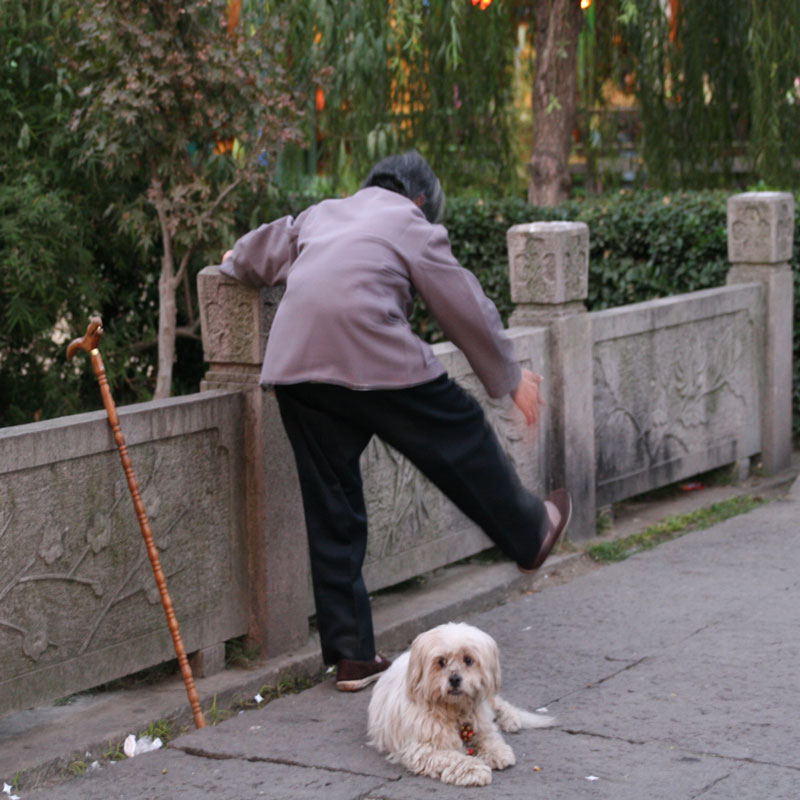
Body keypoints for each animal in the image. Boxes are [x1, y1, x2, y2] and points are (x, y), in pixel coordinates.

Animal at [368, 620, 552, 784]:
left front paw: (496, 751)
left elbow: (489, 736)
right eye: (441, 661)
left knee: (498, 703)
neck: (453, 709)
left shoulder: (481, 721)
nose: (455, 679)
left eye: (468, 660)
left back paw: (511, 718)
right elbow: (453, 757)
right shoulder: (423, 750)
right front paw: (474, 769)